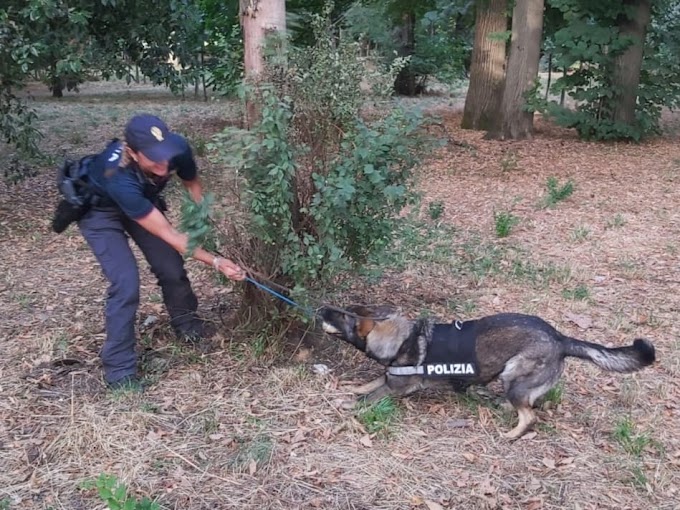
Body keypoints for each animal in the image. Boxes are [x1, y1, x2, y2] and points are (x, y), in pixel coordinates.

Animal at [322, 304, 656, 440]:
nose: (321, 309)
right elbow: (372, 382)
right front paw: (355, 388)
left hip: (513, 376)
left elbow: (371, 395)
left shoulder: (396, 387)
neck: (400, 337)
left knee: (530, 416)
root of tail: (560, 338)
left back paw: (512, 433)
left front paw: (350, 403)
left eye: (341, 316)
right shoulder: (390, 376)